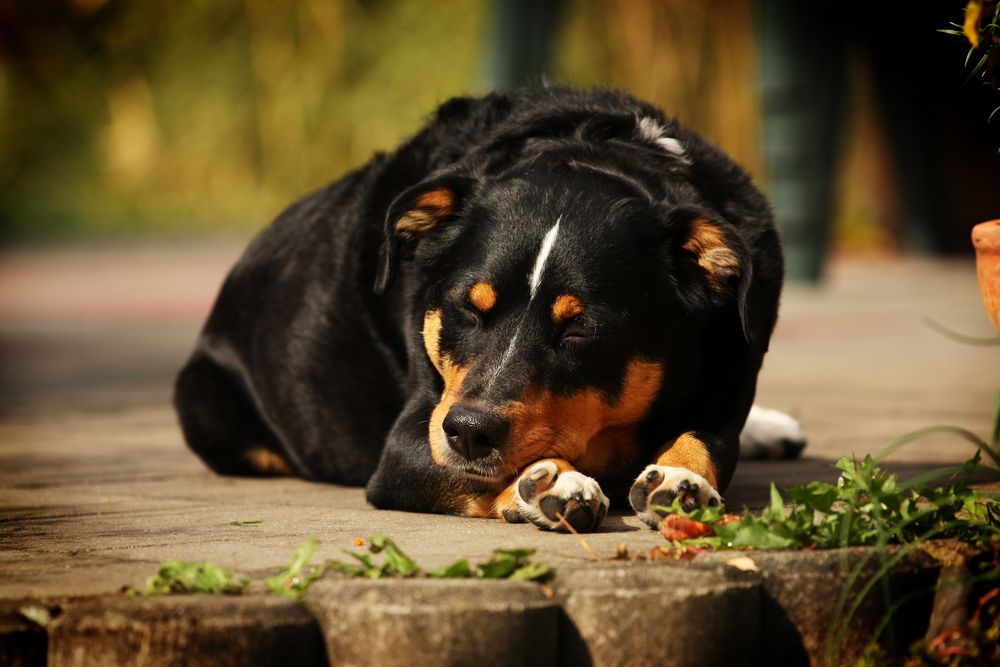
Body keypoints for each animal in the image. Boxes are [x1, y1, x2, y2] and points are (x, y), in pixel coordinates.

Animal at [174, 87, 804, 532]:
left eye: (580, 329)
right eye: (467, 309)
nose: (470, 432)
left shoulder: (730, 378)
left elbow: (707, 438)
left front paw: (679, 478)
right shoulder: (411, 442)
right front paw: (549, 486)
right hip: (203, 400)